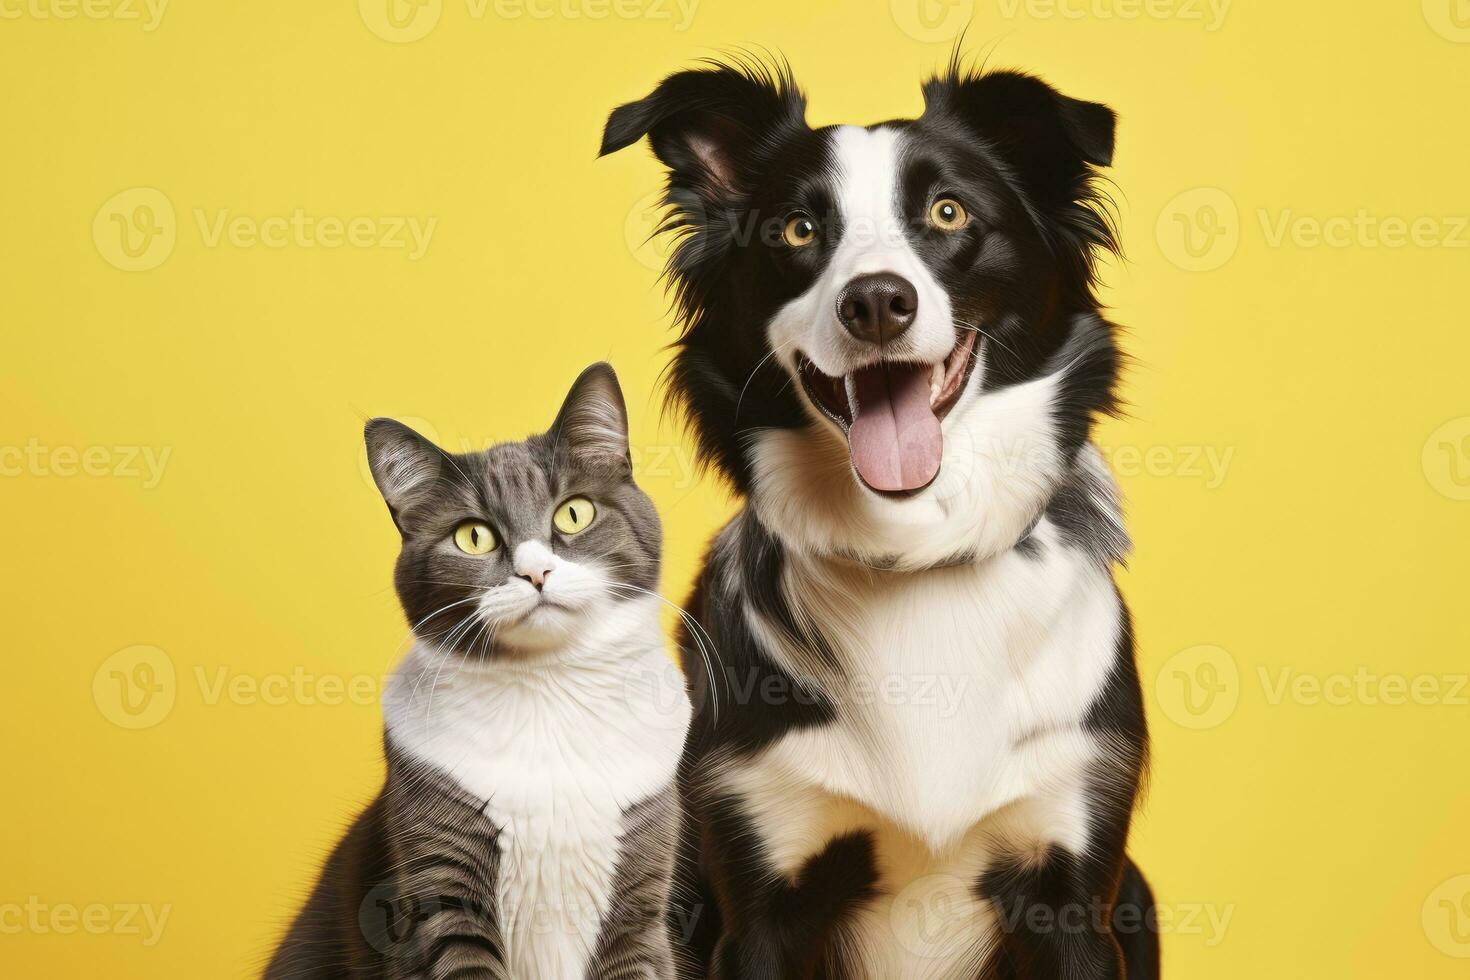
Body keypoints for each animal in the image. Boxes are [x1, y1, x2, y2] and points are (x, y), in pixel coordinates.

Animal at [267, 364, 690, 975]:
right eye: (473, 536)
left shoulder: (638, 900)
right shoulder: (438, 891)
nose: (535, 572)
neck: (549, 688)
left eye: (574, 512)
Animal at [596, 55, 1158, 980]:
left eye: (948, 212)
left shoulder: (1075, 877)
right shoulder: (758, 888)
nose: (876, 303)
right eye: (796, 230)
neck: (916, 556)